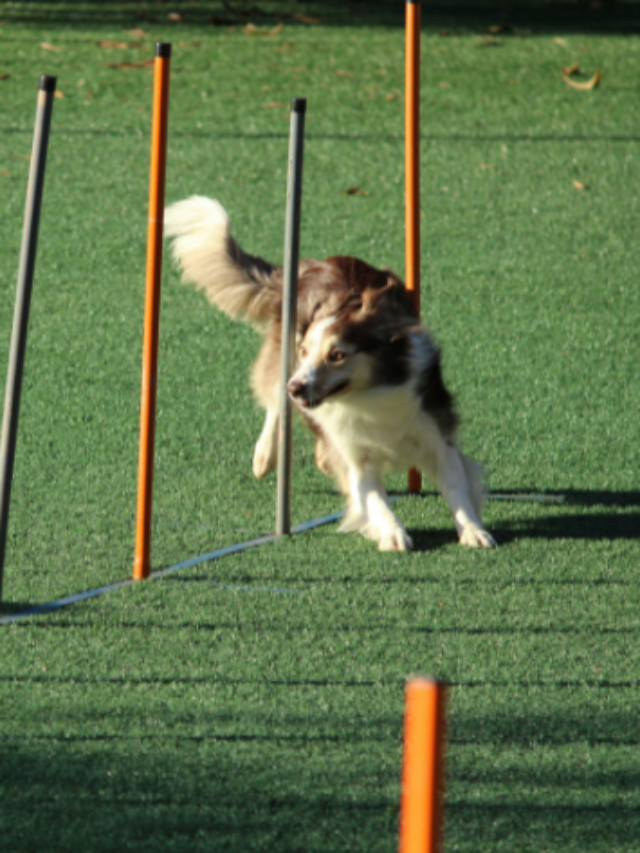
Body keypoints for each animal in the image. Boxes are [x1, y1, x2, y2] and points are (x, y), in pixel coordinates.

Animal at [164, 195, 496, 552]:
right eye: (305, 351)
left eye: (337, 355)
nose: (296, 387)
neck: (368, 396)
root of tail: (310, 266)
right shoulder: (353, 454)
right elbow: (375, 499)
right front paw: (393, 534)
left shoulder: (435, 431)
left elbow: (456, 483)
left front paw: (473, 530)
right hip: (281, 357)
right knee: (274, 401)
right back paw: (265, 455)